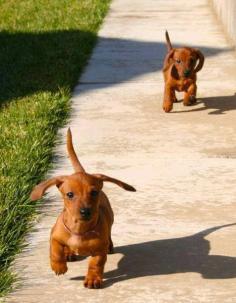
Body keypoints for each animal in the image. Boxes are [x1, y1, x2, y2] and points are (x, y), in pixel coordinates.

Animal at [30, 128, 136, 290]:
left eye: (94, 192)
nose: (85, 211)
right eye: (70, 194)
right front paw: (59, 266)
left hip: (110, 222)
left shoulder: (99, 251)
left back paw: (109, 246)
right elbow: (55, 251)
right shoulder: (54, 236)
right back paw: (68, 253)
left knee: (109, 234)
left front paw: (93, 279)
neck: (79, 229)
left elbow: (95, 264)